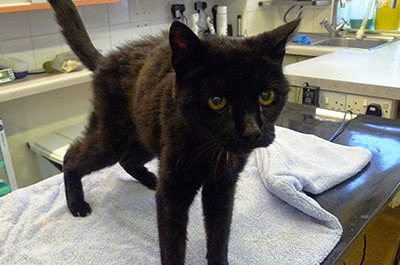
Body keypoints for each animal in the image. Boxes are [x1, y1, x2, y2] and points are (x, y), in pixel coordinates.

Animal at [47, 1, 300, 262]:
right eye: (216, 101)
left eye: (266, 96)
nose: (252, 132)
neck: (210, 149)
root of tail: (104, 59)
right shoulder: (173, 194)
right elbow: (173, 243)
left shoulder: (222, 186)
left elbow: (219, 232)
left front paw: (218, 259)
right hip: (114, 138)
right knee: (73, 155)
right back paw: (77, 204)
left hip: (145, 136)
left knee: (127, 159)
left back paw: (150, 179)